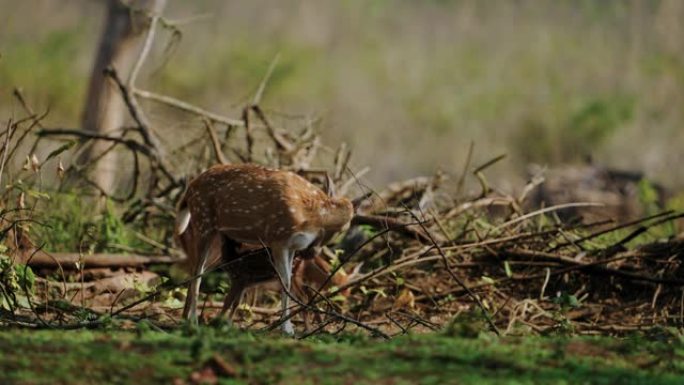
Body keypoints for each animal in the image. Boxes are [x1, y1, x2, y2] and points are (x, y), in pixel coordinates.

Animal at [176, 162, 352, 332]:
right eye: (342, 229)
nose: (311, 253)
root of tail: (190, 188)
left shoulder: (291, 246)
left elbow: (287, 282)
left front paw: (287, 326)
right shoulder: (278, 239)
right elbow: (285, 282)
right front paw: (286, 328)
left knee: (195, 270)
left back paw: (185, 318)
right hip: (203, 222)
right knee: (197, 273)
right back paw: (193, 321)